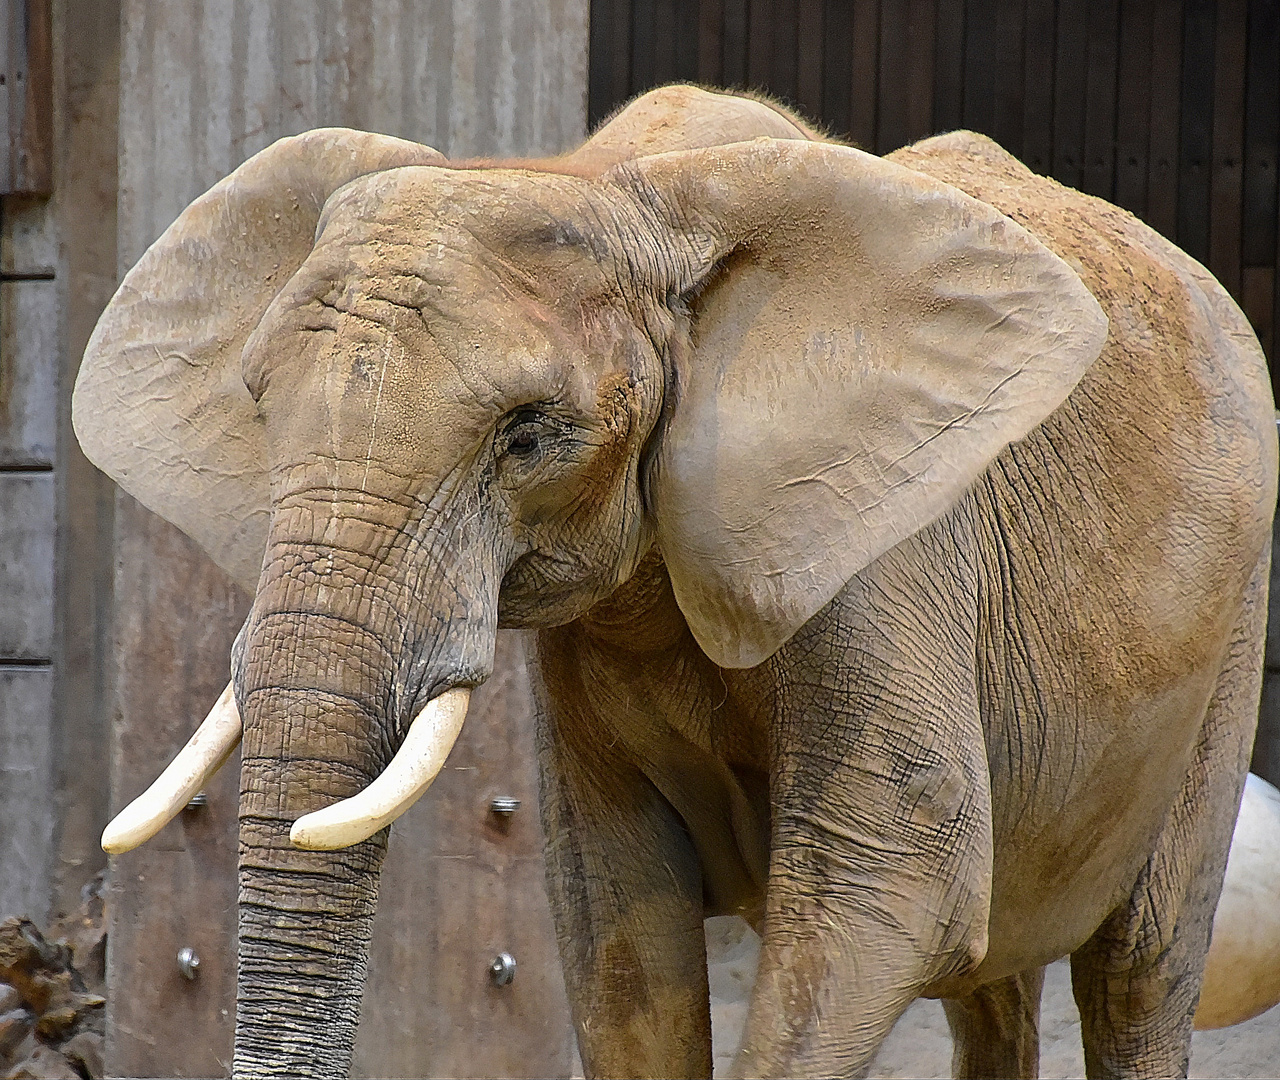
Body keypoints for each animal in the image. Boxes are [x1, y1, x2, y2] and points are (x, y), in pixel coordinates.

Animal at [74, 86, 1274, 1080]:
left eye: (529, 436)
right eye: (260, 408)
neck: (612, 183)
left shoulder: (885, 549)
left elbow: (893, 889)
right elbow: (617, 926)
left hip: (1233, 630)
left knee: (1137, 975)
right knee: (995, 992)